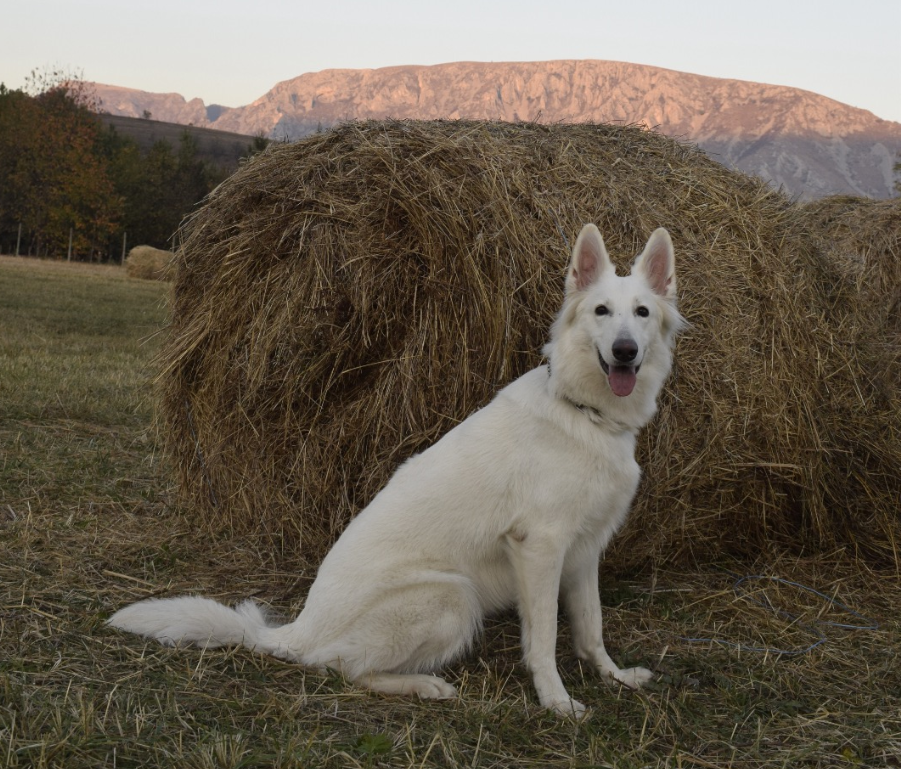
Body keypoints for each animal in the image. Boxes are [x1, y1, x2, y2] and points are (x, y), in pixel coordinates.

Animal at [107, 224, 684, 720]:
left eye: (641, 313)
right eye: (601, 311)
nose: (625, 352)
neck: (582, 413)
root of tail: (296, 630)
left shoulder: (584, 551)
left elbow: (591, 629)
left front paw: (613, 677)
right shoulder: (539, 548)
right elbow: (543, 639)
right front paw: (557, 701)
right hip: (453, 595)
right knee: (339, 666)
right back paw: (423, 684)